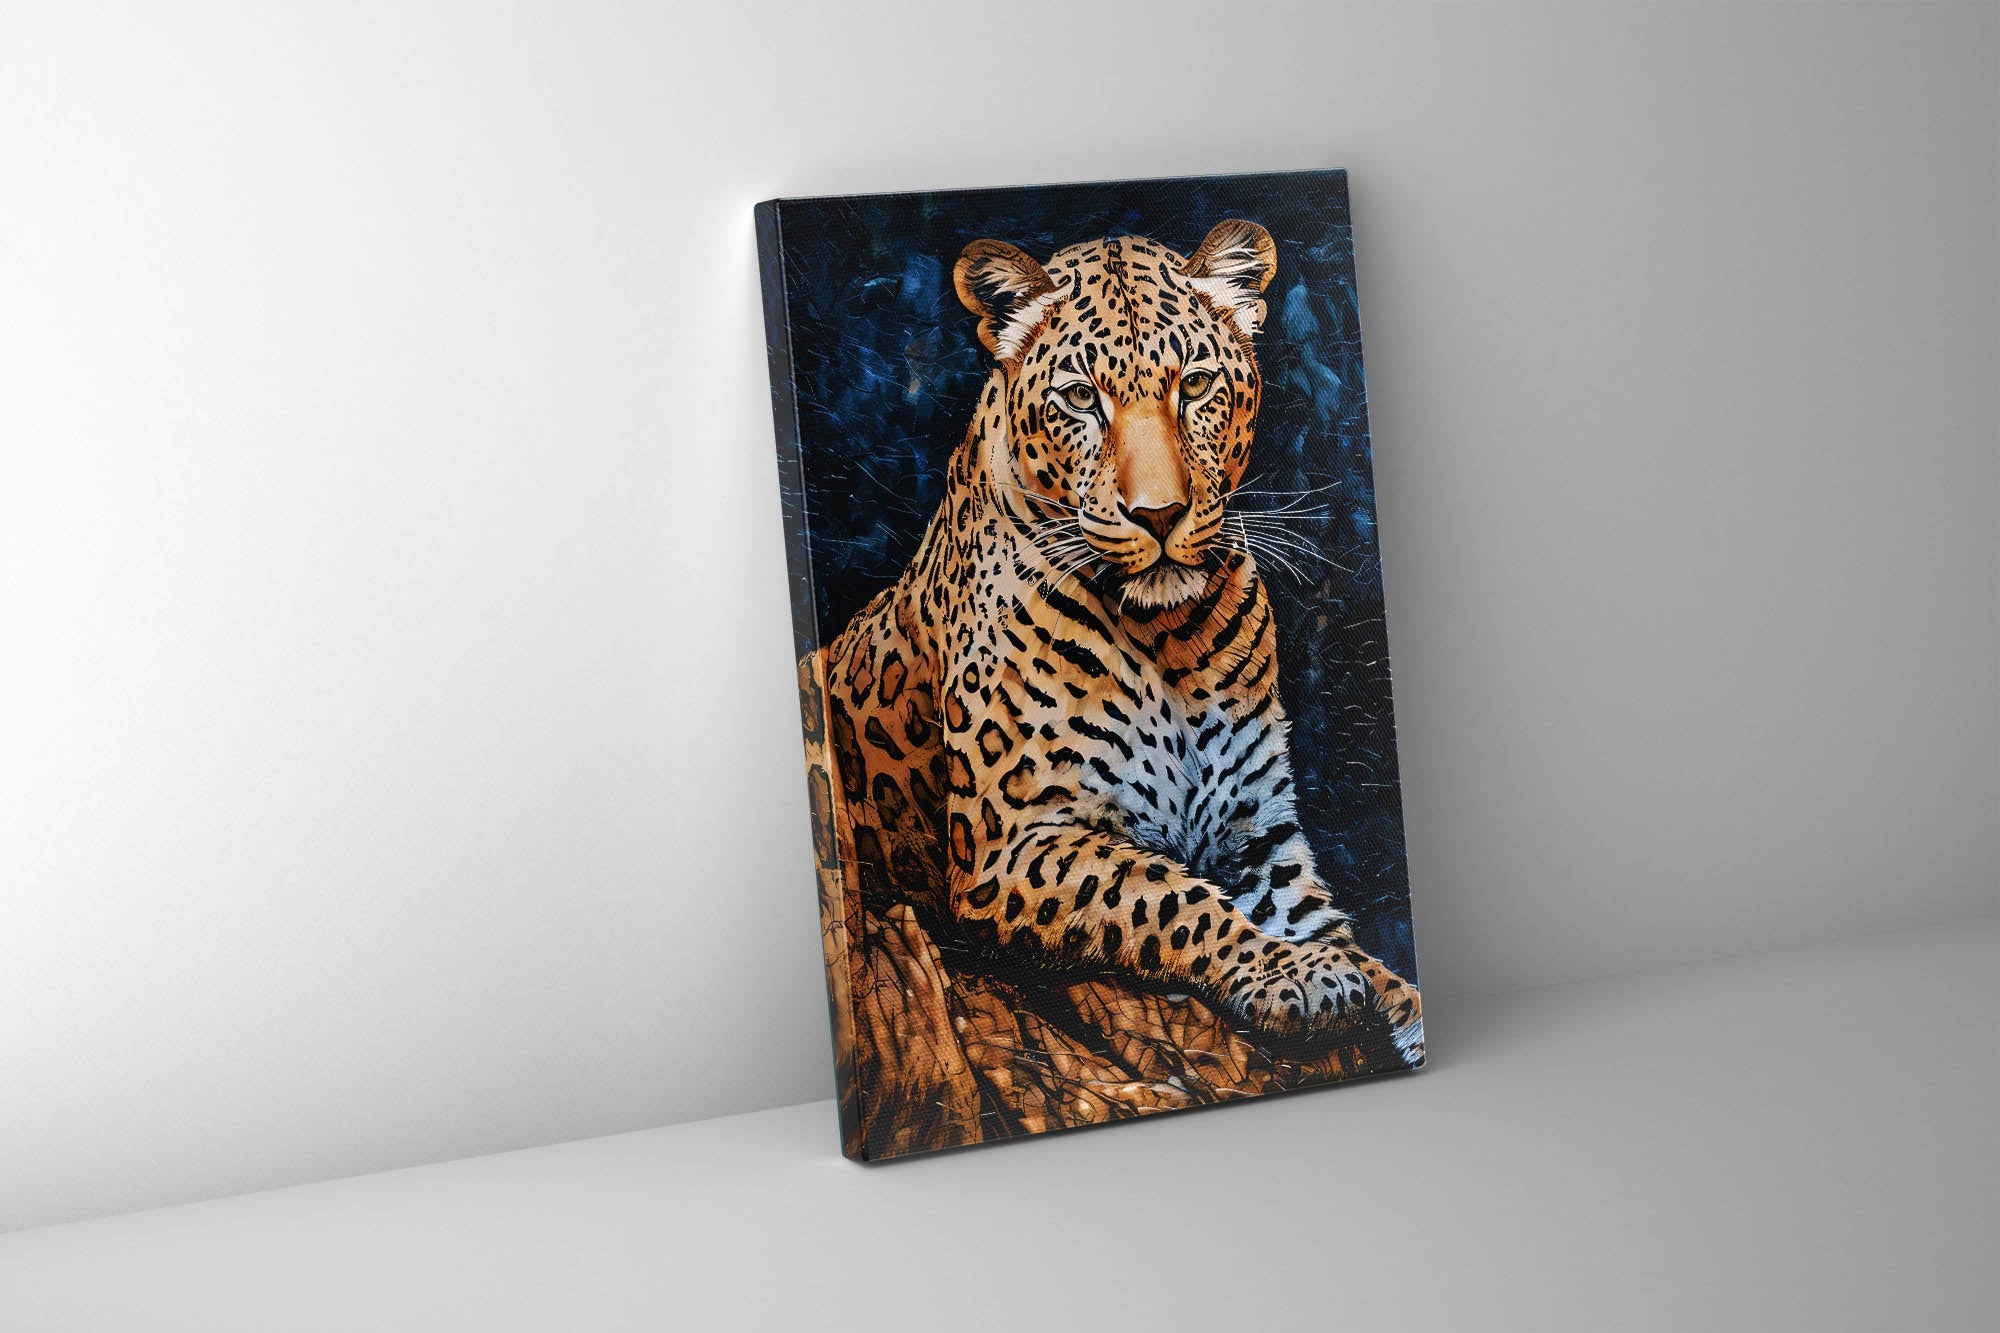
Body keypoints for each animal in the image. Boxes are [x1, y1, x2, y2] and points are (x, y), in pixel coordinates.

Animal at [799, 219, 1423, 1078]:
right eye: (1079, 398)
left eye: (1195, 386)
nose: (1158, 514)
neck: (1171, 641)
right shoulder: (1011, 843)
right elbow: (1170, 896)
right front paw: (1293, 974)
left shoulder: (1257, 833)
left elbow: (1343, 938)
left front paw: (1392, 998)